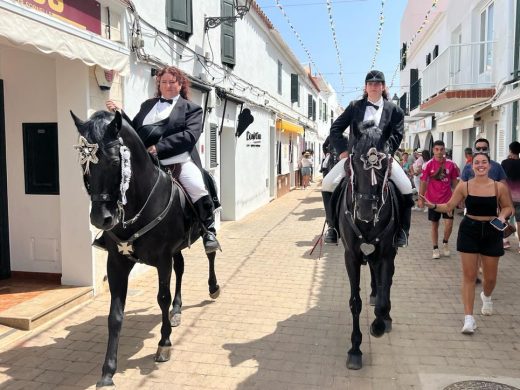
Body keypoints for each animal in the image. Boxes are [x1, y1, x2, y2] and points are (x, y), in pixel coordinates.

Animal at [69, 109, 219, 386]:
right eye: (84, 164)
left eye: (114, 161)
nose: (101, 219)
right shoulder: (117, 262)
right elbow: (115, 314)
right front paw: (108, 371)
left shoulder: (162, 258)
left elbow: (162, 298)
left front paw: (164, 344)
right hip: (176, 250)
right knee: (180, 270)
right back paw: (177, 310)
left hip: (201, 232)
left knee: (210, 253)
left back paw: (213, 287)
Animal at [336, 120, 400, 370]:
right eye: (352, 161)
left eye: (384, 165)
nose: (364, 212)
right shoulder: (351, 256)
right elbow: (355, 302)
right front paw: (355, 349)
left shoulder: (386, 254)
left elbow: (383, 297)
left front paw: (379, 325)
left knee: (386, 283)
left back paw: (387, 317)